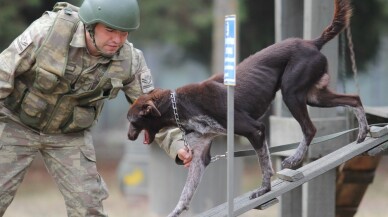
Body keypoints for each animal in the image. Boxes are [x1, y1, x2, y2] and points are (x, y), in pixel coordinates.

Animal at [126, 0, 366, 216]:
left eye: (132, 121)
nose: (128, 136)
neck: (182, 105)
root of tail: (312, 42)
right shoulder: (201, 157)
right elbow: (185, 193)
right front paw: (176, 211)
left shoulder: (255, 128)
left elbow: (264, 164)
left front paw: (264, 189)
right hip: (314, 96)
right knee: (354, 99)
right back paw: (363, 133)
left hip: (292, 93)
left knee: (310, 128)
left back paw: (295, 159)